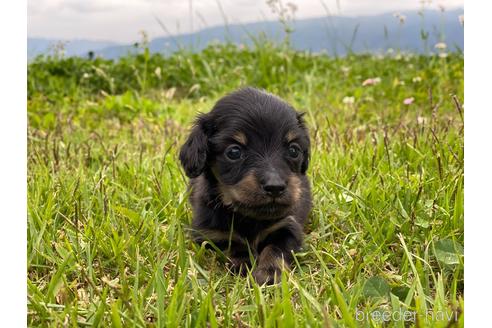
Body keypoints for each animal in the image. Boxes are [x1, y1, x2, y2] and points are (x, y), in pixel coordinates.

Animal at [181, 87, 312, 284]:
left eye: (293, 150)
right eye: (234, 152)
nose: (275, 187)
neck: (250, 218)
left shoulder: (288, 226)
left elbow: (276, 249)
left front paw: (270, 272)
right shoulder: (209, 234)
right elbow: (234, 243)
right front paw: (244, 264)